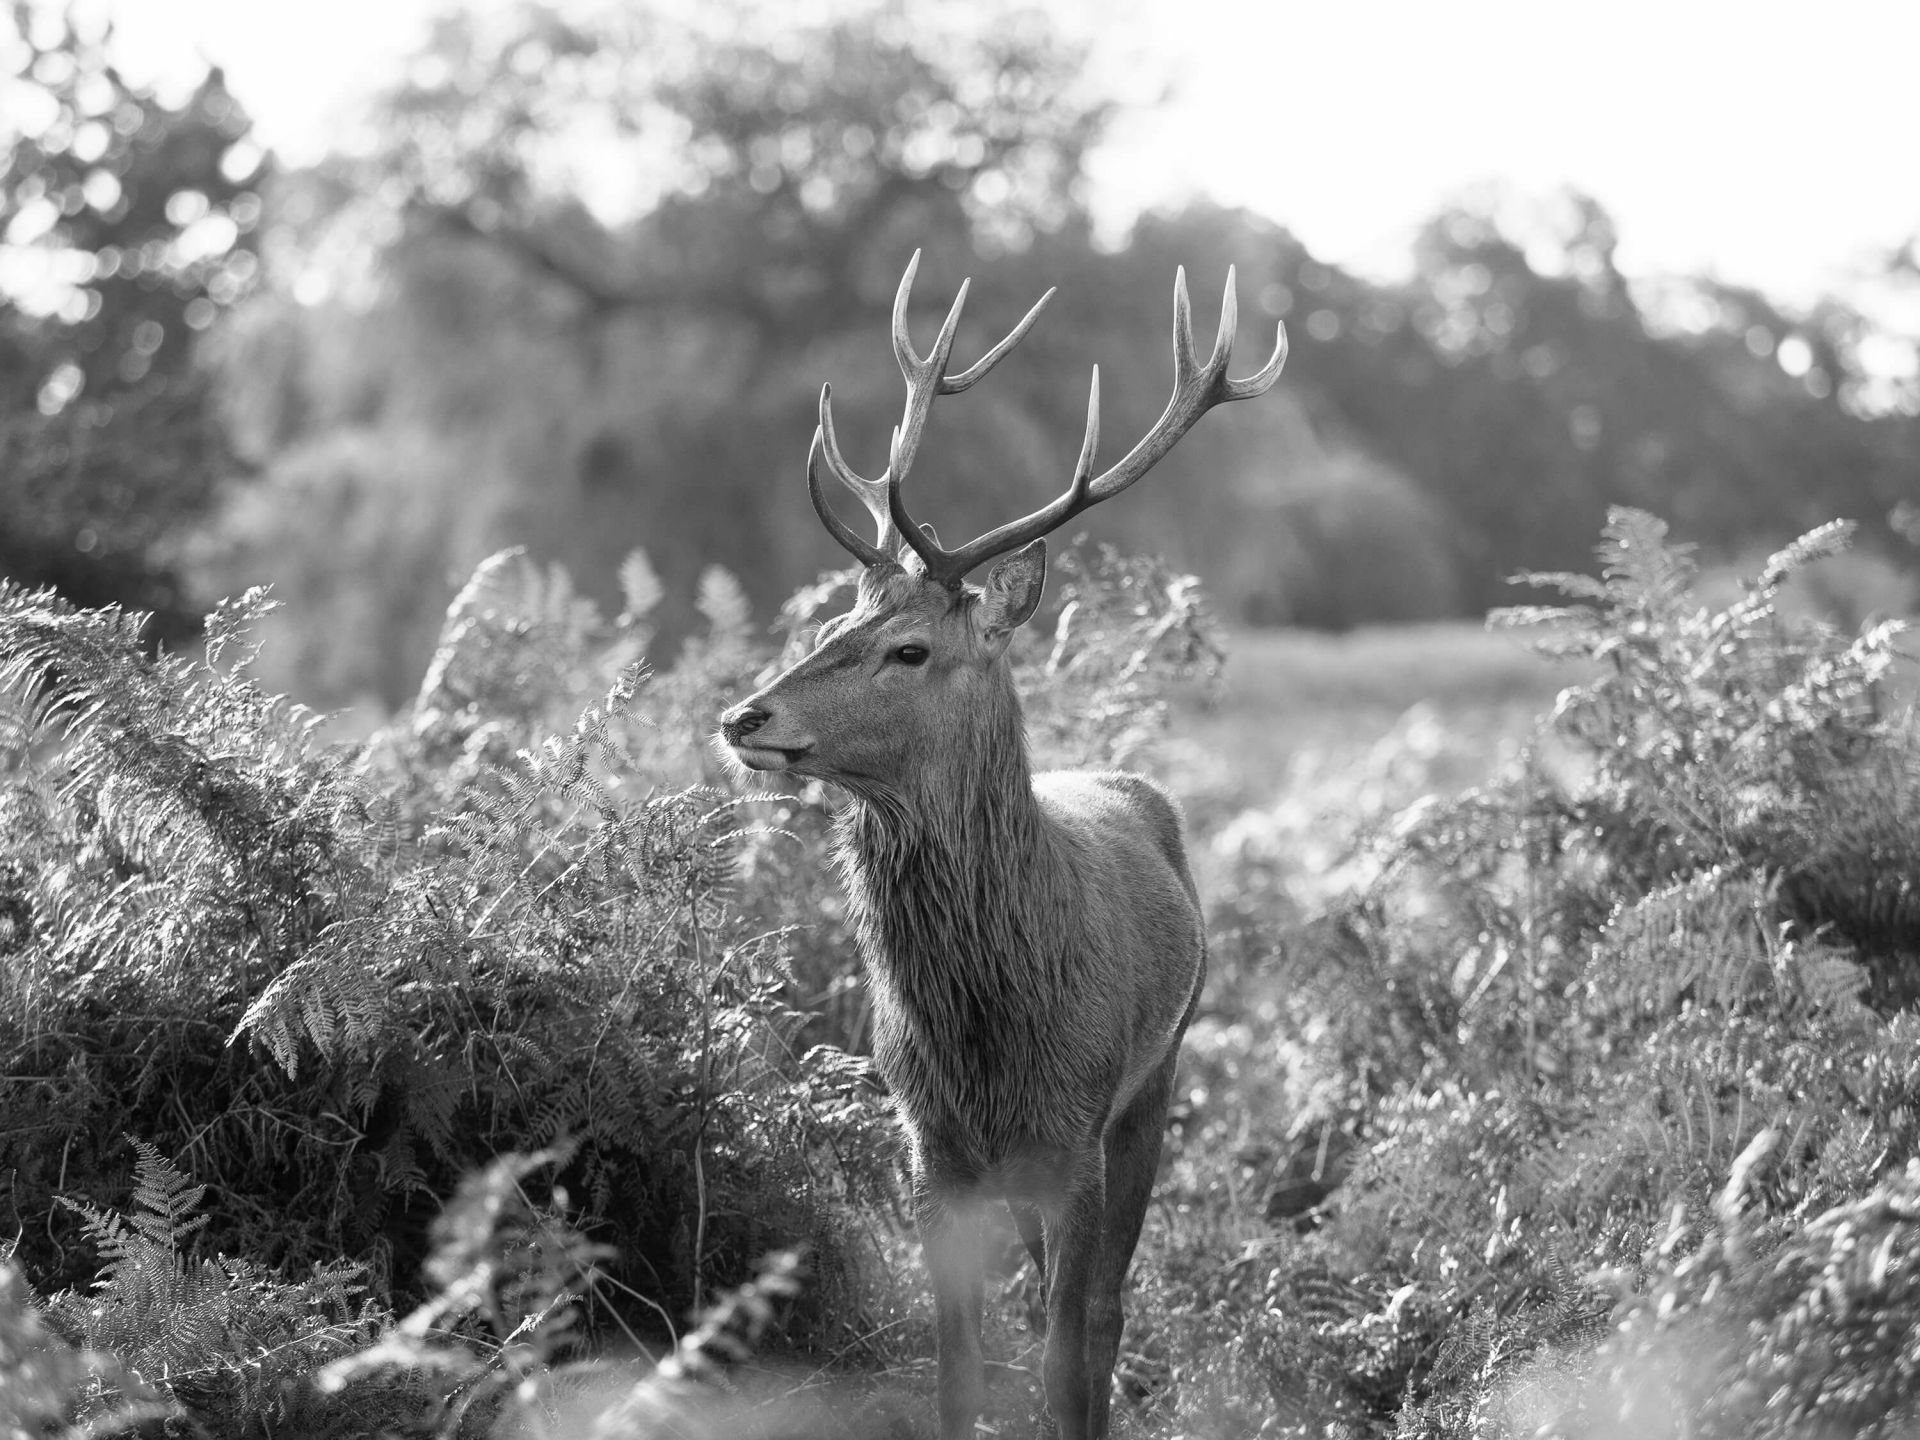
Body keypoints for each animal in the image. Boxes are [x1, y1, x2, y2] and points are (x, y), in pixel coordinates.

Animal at [718, 252, 1285, 1440]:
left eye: (910, 649)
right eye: (830, 626)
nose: (745, 716)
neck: (990, 1027)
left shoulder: (1077, 1133)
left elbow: (1068, 1365)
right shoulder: (931, 1148)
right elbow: (960, 1377)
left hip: (1157, 1080)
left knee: (1106, 1315)